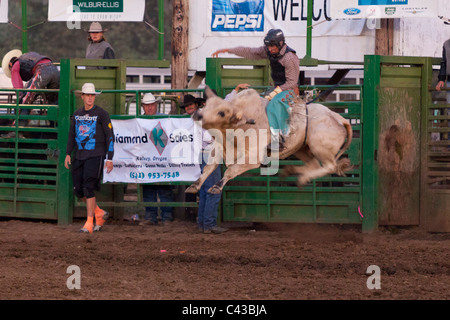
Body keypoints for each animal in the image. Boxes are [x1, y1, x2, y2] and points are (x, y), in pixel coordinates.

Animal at [185, 86, 352, 194]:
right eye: (207, 105)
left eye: (221, 112)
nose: (198, 115)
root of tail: (337, 117)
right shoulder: (219, 149)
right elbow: (208, 168)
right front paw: (195, 185)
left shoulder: (253, 157)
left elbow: (231, 170)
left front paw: (216, 187)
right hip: (302, 149)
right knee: (314, 165)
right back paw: (293, 173)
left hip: (320, 148)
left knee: (329, 167)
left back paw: (301, 176)